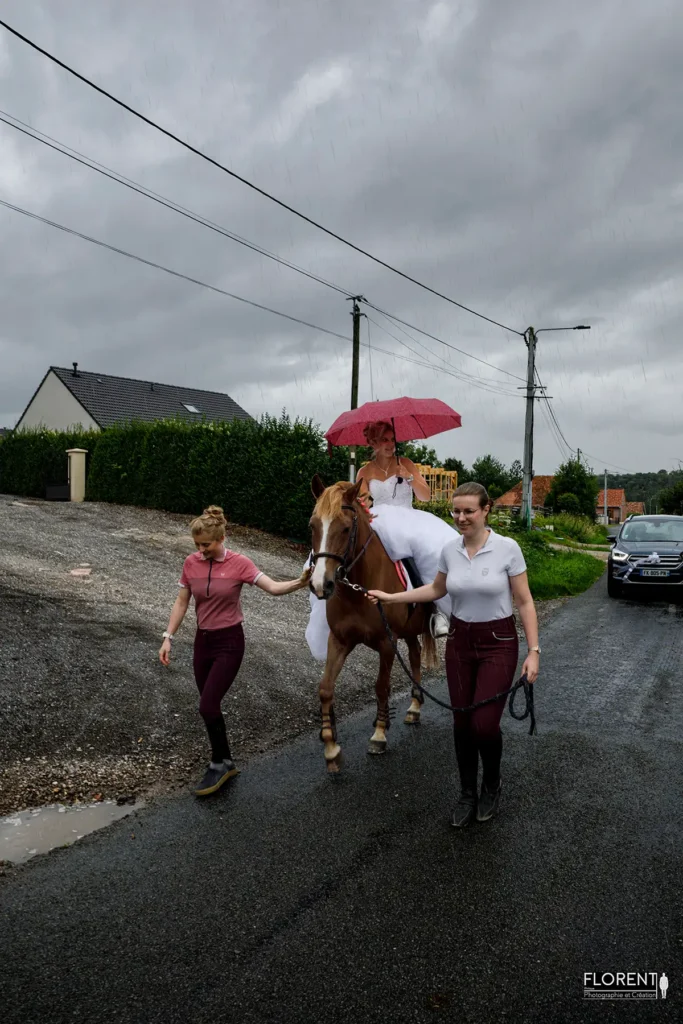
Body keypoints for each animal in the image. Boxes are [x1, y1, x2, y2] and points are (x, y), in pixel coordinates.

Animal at [309, 475, 438, 770]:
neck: (359, 590)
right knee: (415, 655)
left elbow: (381, 686)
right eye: (312, 525)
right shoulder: (339, 640)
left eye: (345, 528)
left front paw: (379, 733)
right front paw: (331, 746)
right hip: (408, 632)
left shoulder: (386, 644)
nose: (321, 584)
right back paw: (414, 707)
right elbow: (325, 688)